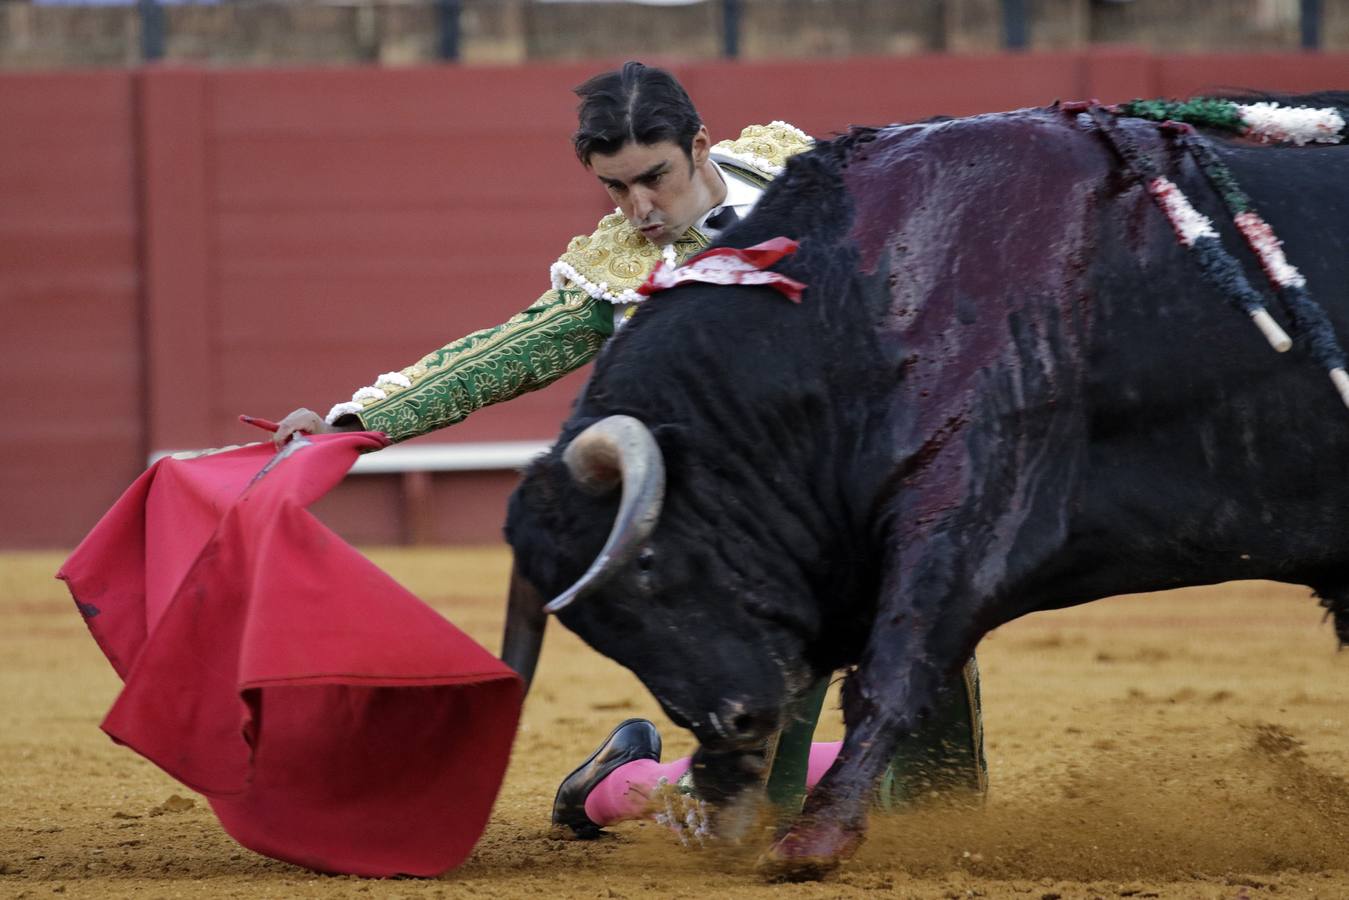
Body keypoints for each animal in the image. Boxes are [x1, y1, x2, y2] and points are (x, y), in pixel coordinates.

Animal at [496, 98, 1349, 879]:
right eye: (601, 627)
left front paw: (810, 840)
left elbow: (891, 670)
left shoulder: (972, 505)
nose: (733, 721)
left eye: (645, 565)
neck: (858, 305)